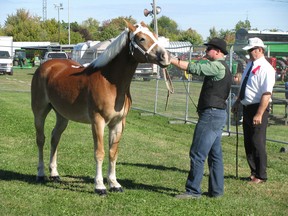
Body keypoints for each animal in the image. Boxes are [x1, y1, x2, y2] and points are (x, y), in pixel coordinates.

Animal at [31, 20, 171, 196]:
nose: (165, 57)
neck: (111, 83)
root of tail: (47, 65)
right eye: (141, 39)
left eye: (155, 36)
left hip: (62, 115)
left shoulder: (118, 123)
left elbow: (113, 153)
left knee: (55, 138)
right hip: (39, 112)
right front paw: (99, 186)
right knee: (40, 139)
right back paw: (40, 173)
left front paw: (114, 183)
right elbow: (99, 153)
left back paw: (54, 174)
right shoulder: (98, 122)